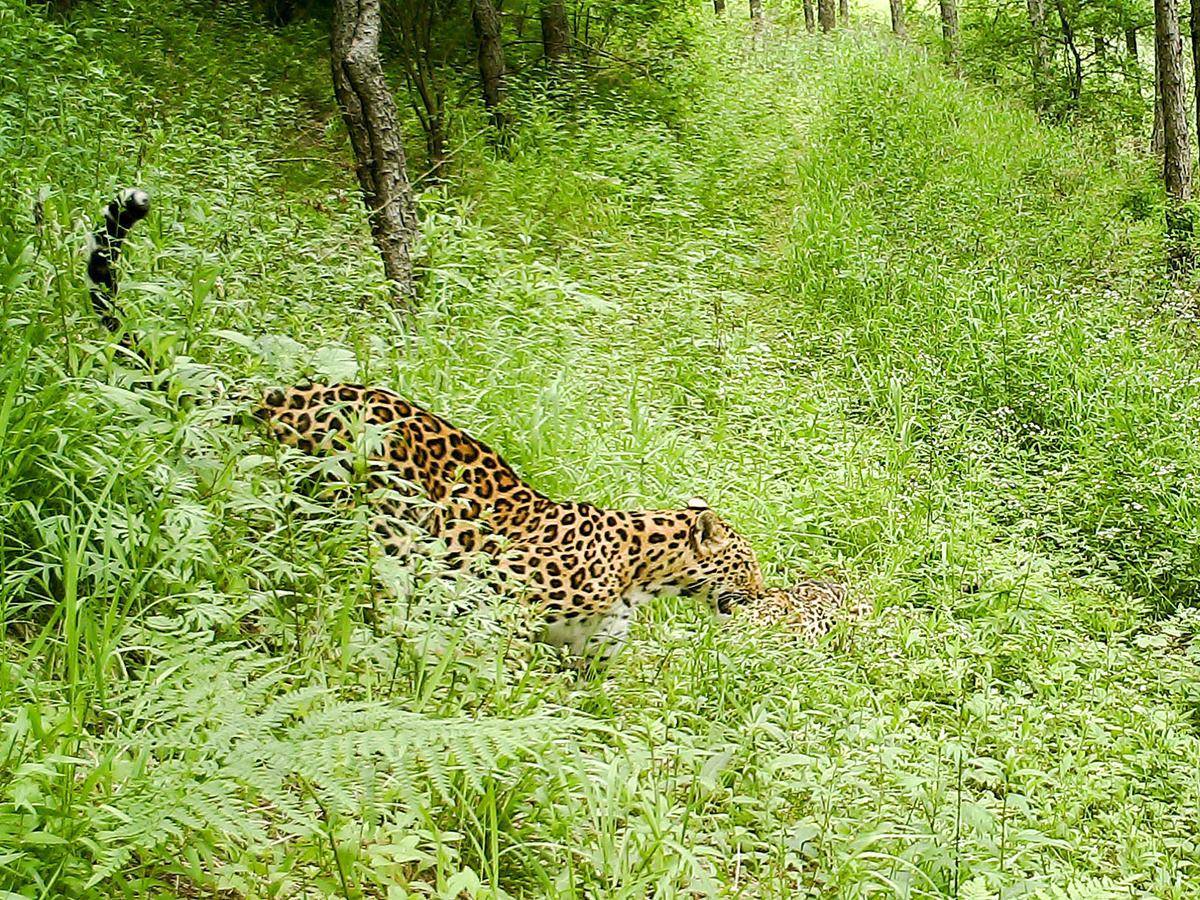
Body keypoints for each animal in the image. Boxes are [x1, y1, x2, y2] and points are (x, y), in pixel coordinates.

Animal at [84, 190, 763, 657]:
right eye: (744, 563)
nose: (760, 594)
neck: (643, 573)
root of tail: (282, 394)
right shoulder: (498, 597)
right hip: (370, 512)